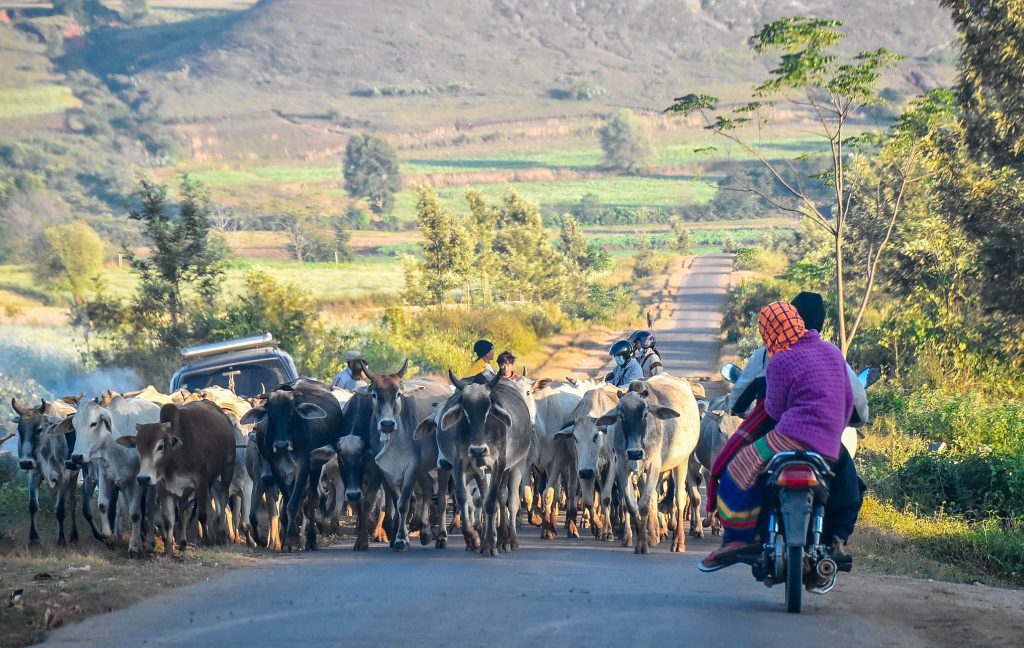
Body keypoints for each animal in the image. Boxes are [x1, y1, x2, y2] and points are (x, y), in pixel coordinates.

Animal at [118, 397, 235, 552]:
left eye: (160, 446)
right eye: (138, 447)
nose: (143, 478)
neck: (176, 455)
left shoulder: (201, 481)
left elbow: (202, 514)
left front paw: (206, 541)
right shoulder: (165, 486)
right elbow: (169, 519)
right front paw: (168, 548)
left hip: (227, 468)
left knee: (223, 498)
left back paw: (221, 535)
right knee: (185, 510)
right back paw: (184, 543)